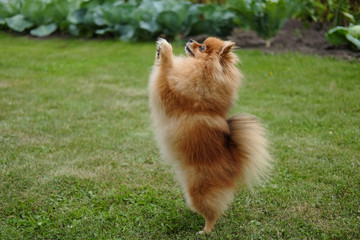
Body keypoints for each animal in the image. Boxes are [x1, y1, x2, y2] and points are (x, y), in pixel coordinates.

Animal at [148, 37, 270, 234]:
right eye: (200, 41)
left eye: (202, 47)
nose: (190, 39)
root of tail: (234, 164)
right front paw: (160, 51)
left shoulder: (170, 92)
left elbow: (166, 71)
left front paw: (166, 49)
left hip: (198, 190)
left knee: (212, 213)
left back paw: (205, 230)